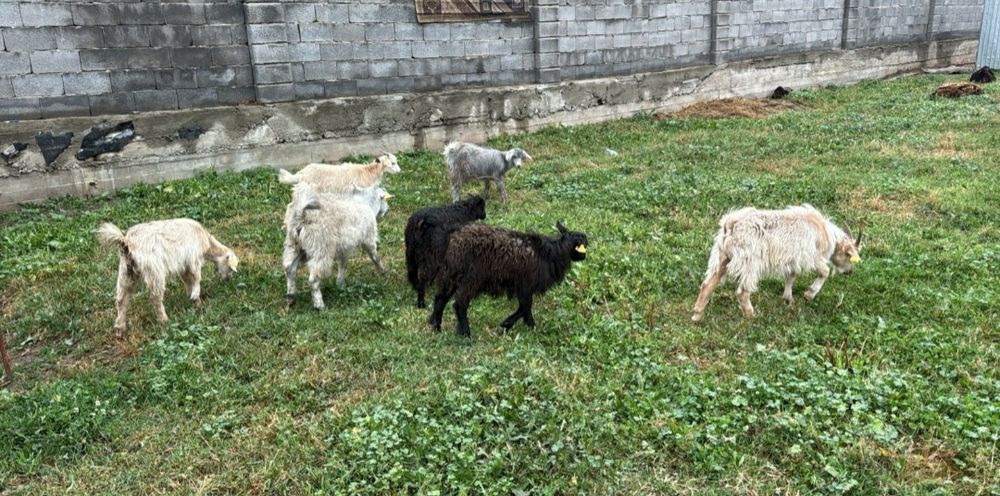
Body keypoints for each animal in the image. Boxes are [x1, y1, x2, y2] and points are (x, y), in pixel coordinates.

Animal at [97, 218, 238, 334]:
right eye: (230, 268)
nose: (227, 280)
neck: (206, 242)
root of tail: (126, 242)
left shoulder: (184, 265)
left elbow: (187, 281)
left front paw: (194, 300)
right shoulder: (193, 259)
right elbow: (196, 278)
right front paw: (196, 297)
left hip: (126, 272)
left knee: (122, 298)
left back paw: (119, 328)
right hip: (154, 270)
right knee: (155, 297)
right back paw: (164, 320)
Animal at [427, 221, 588, 337]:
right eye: (581, 240)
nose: (587, 238)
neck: (550, 254)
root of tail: (452, 238)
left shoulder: (523, 287)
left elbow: (525, 308)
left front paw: (526, 326)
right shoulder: (525, 285)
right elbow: (525, 307)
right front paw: (509, 325)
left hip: (451, 274)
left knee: (440, 298)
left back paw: (436, 326)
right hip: (471, 279)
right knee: (459, 304)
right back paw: (466, 334)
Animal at [691, 204, 863, 322]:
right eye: (849, 256)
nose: (849, 271)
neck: (824, 232)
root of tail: (730, 225)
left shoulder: (793, 260)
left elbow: (791, 277)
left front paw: (788, 299)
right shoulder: (811, 258)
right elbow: (824, 272)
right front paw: (809, 294)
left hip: (722, 257)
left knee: (708, 284)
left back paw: (696, 315)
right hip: (749, 262)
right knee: (742, 291)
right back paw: (751, 316)